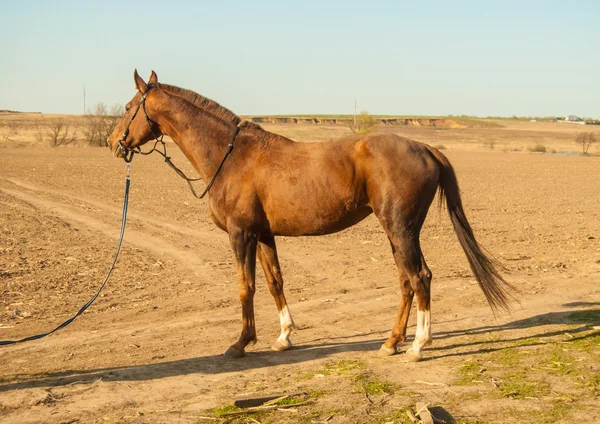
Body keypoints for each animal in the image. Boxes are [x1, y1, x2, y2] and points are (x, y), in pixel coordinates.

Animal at [106, 69, 510, 362]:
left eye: (127, 106)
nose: (113, 142)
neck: (232, 156)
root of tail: (425, 148)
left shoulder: (241, 234)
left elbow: (245, 286)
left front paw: (240, 343)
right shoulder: (264, 235)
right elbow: (275, 283)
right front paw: (284, 336)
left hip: (401, 229)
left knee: (420, 277)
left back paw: (417, 345)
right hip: (397, 234)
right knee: (406, 281)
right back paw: (391, 341)